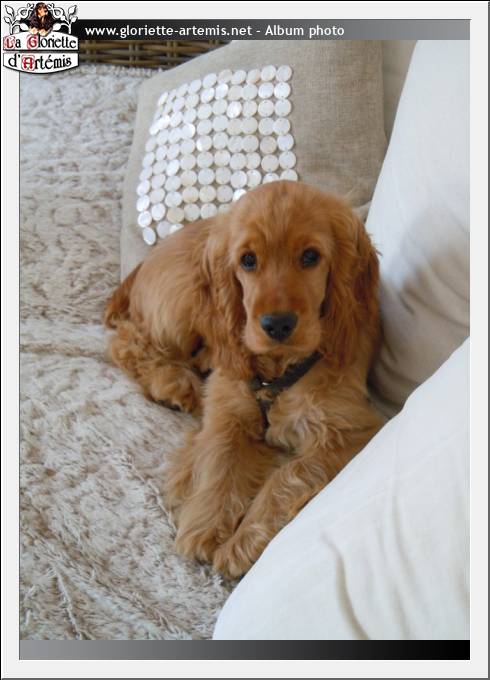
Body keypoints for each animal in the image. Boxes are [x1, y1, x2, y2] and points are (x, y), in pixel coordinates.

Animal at [105, 180, 384, 578]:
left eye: (310, 256)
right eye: (248, 260)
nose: (277, 324)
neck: (278, 371)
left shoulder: (346, 431)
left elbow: (289, 475)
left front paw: (242, 542)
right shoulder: (227, 407)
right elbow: (220, 460)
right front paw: (205, 528)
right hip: (180, 306)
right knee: (127, 340)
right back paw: (173, 383)